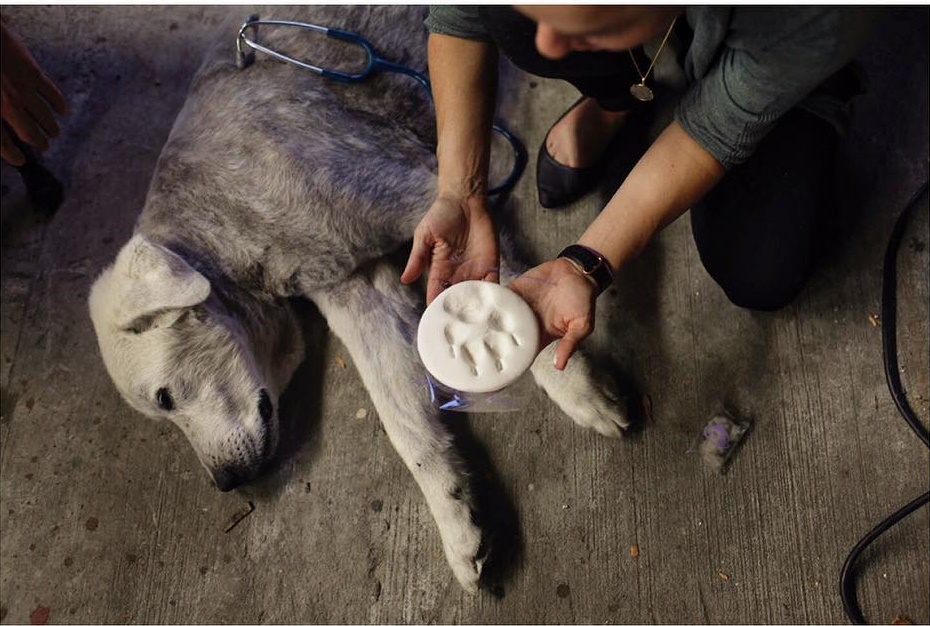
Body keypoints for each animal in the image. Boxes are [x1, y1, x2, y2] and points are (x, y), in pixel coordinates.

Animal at [87, 4, 628, 588]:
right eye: (161, 412)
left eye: (165, 397)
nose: (227, 484)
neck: (229, 220)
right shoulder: (358, 290)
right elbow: (403, 420)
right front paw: (457, 518)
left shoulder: (425, 201)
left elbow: (515, 300)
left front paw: (579, 390)